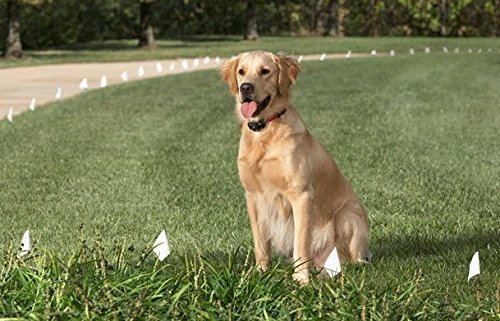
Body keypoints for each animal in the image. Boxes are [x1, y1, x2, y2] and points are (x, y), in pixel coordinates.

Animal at [221, 50, 370, 282]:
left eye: (265, 71)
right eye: (241, 71)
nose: (245, 87)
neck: (265, 130)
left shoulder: (301, 195)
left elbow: (300, 243)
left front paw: (301, 278)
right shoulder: (252, 197)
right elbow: (260, 244)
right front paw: (260, 272)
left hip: (346, 215)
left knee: (354, 259)